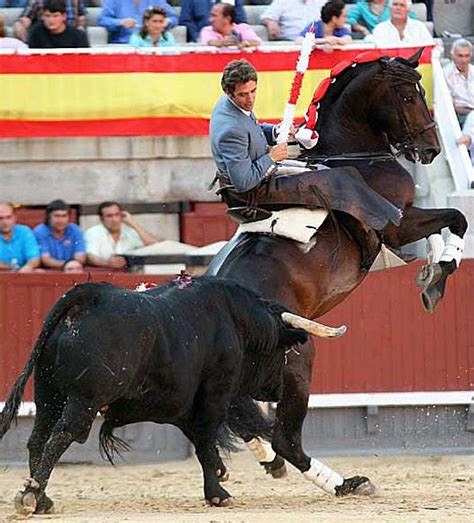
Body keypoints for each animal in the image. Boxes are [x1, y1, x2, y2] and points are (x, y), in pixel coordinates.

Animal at [0, 276, 340, 512]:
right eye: (283, 352)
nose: (277, 390)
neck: (235, 320)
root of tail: (88, 296)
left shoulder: (182, 406)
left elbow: (202, 444)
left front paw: (219, 475)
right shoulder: (215, 394)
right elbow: (205, 441)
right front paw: (218, 494)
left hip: (48, 395)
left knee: (38, 439)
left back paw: (42, 498)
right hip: (83, 400)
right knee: (61, 435)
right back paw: (31, 495)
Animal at [206, 51, 466, 498]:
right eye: (407, 96)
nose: (431, 149)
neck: (353, 155)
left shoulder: (404, 227)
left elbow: (447, 224)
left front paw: (430, 272)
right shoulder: (398, 223)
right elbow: (456, 217)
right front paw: (436, 281)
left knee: (245, 420)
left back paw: (272, 464)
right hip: (298, 359)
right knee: (285, 438)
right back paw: (347, 483)